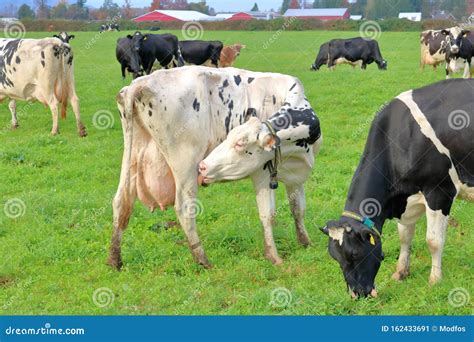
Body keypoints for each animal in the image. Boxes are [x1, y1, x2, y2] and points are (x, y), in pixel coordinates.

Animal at [320, 79, 472, 298]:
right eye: (335, 257)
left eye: (355, 254)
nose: (358, 294)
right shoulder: (407, 199)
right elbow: (405, 236)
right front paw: (400, 272)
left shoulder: (439, 192)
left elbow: (433, 241)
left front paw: (435, 280)